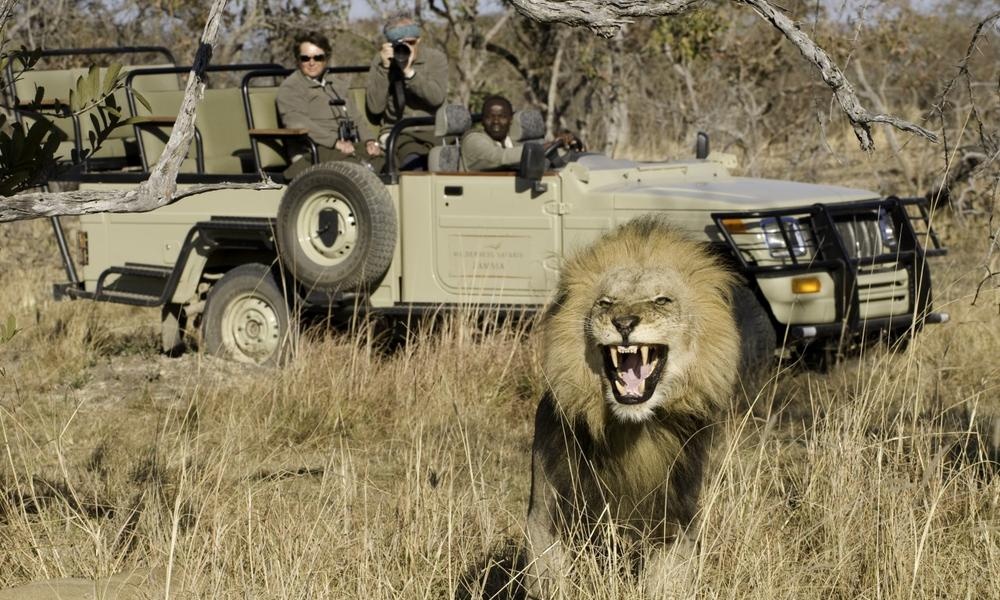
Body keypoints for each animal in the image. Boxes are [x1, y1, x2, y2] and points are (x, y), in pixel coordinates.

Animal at [528, 217, 740, 596]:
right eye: (605, 303)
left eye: (661, 300)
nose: (624, 323)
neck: (631, 429)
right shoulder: (546, 517)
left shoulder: (675, 524)